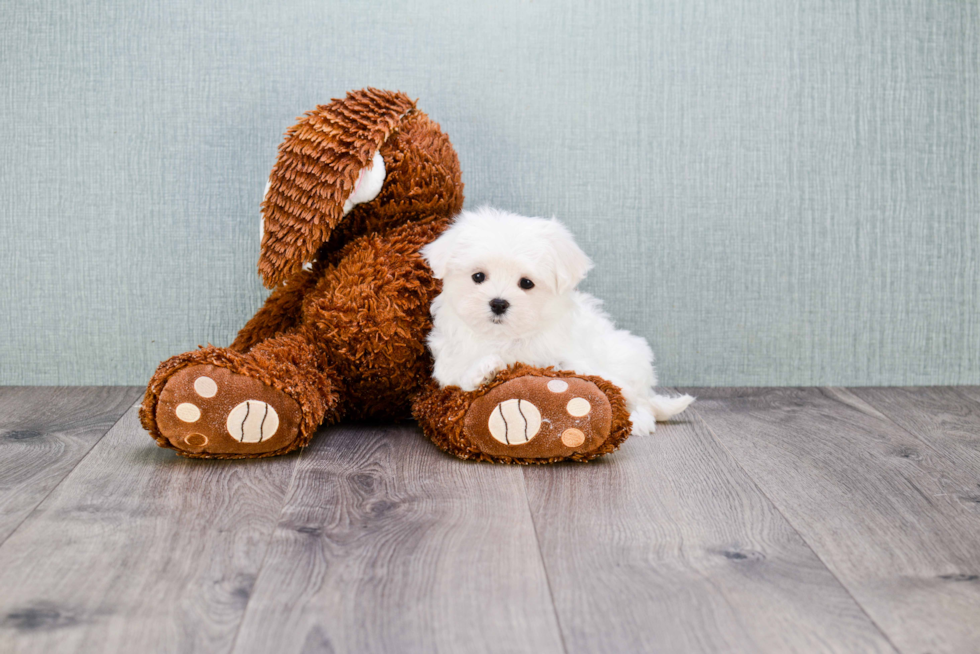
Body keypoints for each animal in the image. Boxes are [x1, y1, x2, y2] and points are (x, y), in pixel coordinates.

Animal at [420, 208, 688, 438]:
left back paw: (640, 419)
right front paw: (485, 370)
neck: (505, 337)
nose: (498, 303)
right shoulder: (449, 361)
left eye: (526, 283)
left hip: (627, 357)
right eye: (478, 276)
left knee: (639, 396)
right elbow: (457, 375)